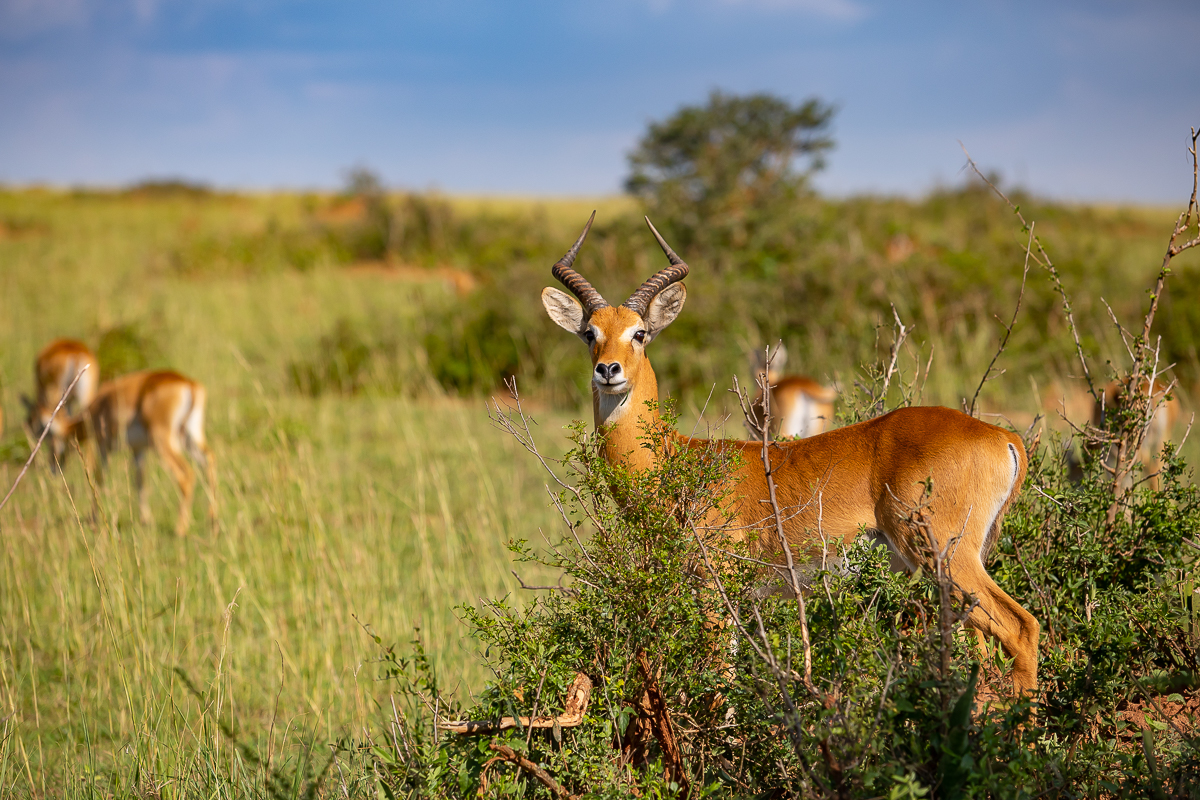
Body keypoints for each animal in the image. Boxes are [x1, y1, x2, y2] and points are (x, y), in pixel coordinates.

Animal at [66, 371, 216, 534]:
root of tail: (187, 382)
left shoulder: (104, 446)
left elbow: (99, 478)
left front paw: (94, 521)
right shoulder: (138, 449)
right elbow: (139, 481)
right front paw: (145, 520)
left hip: (164, 441)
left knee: (186, 474)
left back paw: (180, 529)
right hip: (189, 436)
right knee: (209, 461)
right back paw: (212, 523)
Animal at [544, 212, 1041, 695]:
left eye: (640, 333)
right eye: (589, 333)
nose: (608, 370)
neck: (674, 461)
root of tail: (1001, 436)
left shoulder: (715, 587)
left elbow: (717, 680)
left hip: (945, 556)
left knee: (1021, 628)